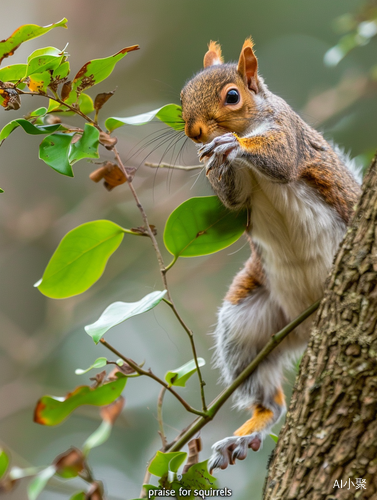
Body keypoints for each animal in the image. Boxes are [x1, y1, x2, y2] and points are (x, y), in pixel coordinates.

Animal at [179, 40, 362, 472]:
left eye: (232, 96)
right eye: (181, 98)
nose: (194, 132)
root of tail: (306, 328)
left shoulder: (287, 132)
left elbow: (279, 159)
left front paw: (231, 145)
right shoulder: (238, 193)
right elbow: (232, 199)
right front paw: (216, 158)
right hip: (246, 322)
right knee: (271, 400)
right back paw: (245, 433)